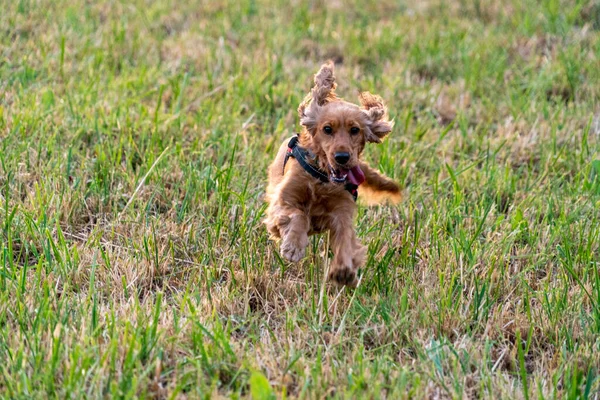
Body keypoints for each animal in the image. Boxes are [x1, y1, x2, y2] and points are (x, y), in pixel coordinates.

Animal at [264, 61, 400, 288]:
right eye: (327, 129)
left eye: (355, 130)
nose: (343, 157)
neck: (323, 181)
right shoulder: (281, 204)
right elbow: (298, 215)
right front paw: (293, 247)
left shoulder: (342, 212)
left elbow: (345, 238)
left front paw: (343, 271)